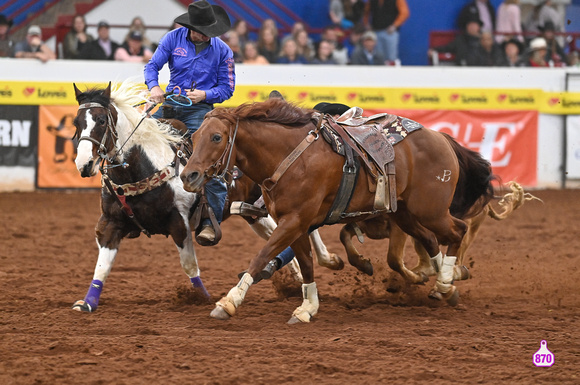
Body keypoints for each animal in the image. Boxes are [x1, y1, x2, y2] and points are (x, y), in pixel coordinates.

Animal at [71, 79, 208, 310]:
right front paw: (88, 303)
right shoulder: (111, 222)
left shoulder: (179, 222)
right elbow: (102, 266)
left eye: (101, 120)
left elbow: (189, 265)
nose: (84, 164)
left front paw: (203, 298)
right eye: (76, 122)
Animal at [181, 97, 494, 322]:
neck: (290, 156)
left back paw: (444, 282)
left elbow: (261, 257)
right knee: (430, 239)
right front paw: (307, 307)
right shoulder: (294, 223)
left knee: (458, 231)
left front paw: (229, 302)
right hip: (405, 213)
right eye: (193, 139)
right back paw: (444, 285)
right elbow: (306, 264)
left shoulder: (294, 221)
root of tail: (442, 138)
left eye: (217, 137)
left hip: (430, 210)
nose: (188, 176)